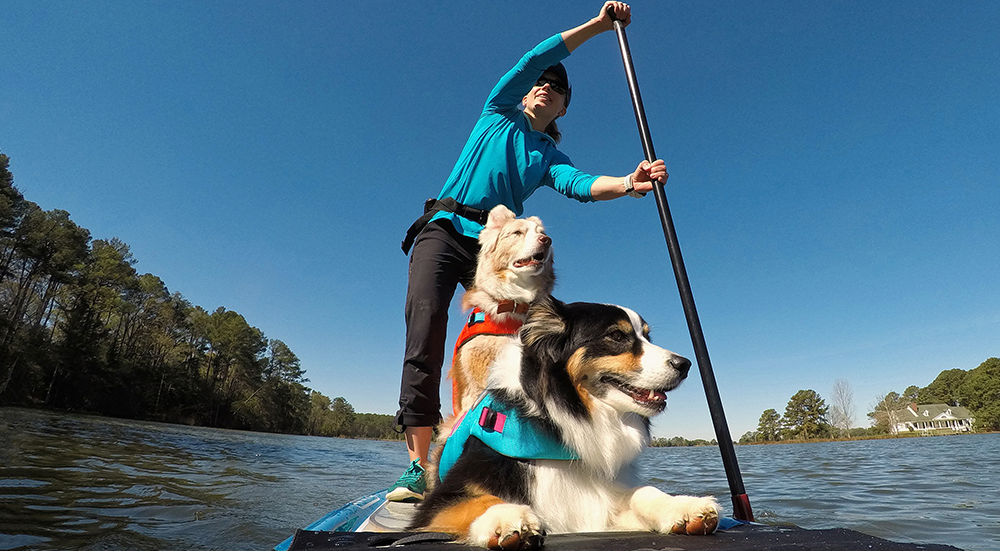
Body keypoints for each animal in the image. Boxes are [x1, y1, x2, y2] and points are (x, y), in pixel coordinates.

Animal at [412, 300, 720, 548]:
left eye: (647, 335)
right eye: (616, 335)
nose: (685, 364)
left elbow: (642, 491)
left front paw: (683, 506)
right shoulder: (436, 505)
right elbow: (480, 500)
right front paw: (508, 515)